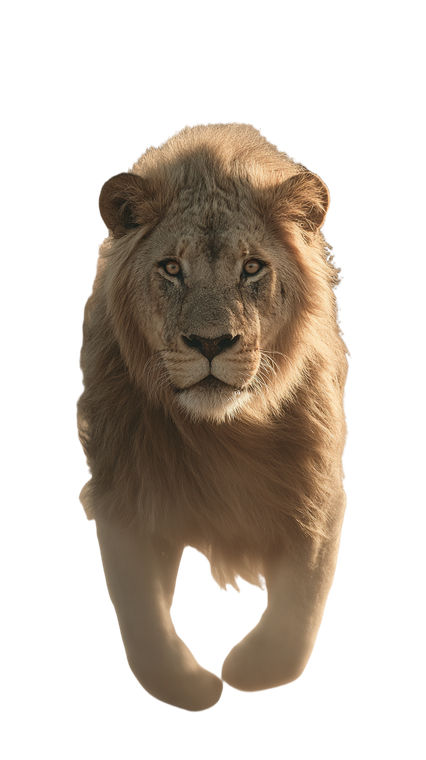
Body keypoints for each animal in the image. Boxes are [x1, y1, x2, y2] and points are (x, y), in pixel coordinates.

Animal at [76, 121, 350, 712]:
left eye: (251, 268)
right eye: (171, 268)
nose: (210, 342)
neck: (222, 433)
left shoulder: (317, 494)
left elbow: (298, 606)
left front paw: (256, 668)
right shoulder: (124, 495)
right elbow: (142, 614)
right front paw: (185, 686)